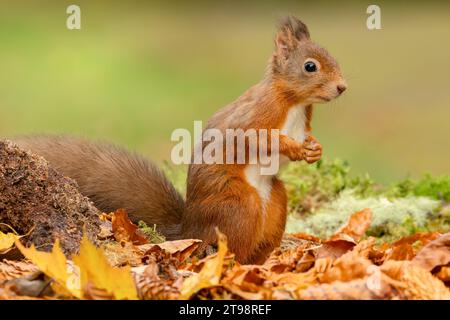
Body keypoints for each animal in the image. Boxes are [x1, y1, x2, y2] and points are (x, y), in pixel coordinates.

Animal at [13, 16, 344, 264]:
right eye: (310, 66)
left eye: (333, 57)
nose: (342, 87)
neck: (295, 102)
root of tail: (190, 229)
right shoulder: (255, 116)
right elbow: (256, 138)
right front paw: (294, 147)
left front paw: (314, 149)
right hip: (238, 205)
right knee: (232, 246)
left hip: (275, 200)